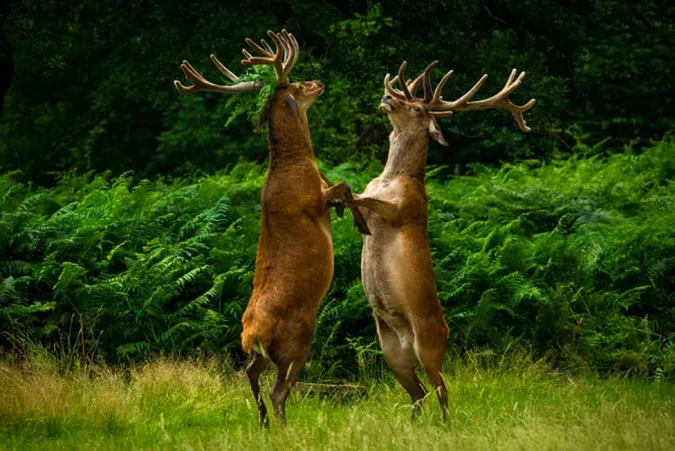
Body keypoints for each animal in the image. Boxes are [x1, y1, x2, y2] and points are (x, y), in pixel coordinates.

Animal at [174, 29, 369, 426]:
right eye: (297, 84)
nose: (319, 82)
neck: (297, 164)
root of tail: (251, 335)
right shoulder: (313, 200)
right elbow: (343, 186)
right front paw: (357, 218)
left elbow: (342, 185)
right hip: (297, 341)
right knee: (280, 390)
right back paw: (282, 425)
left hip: (261, 355)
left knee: (249, 373)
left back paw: (263, 421)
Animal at [345, 61, 535, 420]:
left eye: (417, 108)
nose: (386, 97)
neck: (392, 178)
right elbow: (358, 200)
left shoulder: (405, 208)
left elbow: (363, 198)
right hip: (391, 351)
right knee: (418, 392)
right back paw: (413, 423)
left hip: (429, 344)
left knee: (442, 390)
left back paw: (445, 425)